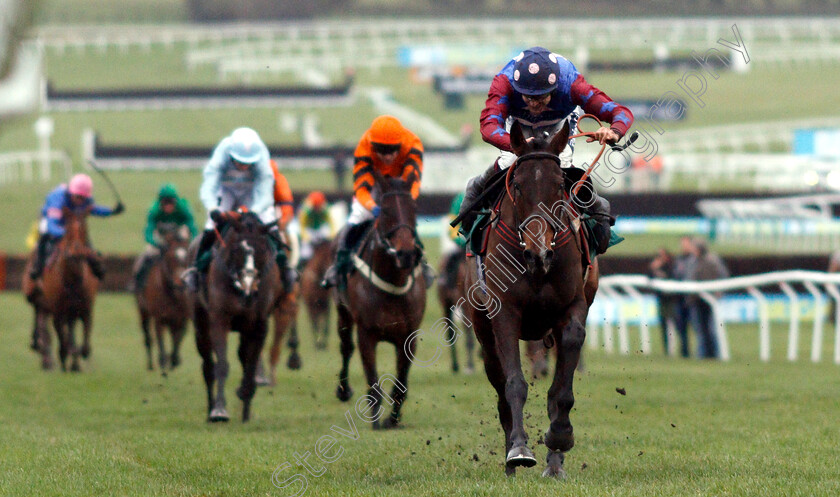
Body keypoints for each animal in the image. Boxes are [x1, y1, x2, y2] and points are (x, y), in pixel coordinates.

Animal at [466, 120, 596, 476]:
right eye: (519, 186)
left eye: (558, 185)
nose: (539, 254)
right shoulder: (504, 314)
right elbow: (514, 385)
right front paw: (519, 449)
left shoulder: (572, 307)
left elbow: (561, 391)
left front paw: (560, 438)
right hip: (483, 333)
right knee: (500, 391)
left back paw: (554, 464)